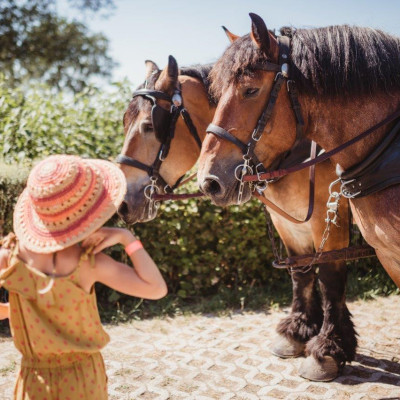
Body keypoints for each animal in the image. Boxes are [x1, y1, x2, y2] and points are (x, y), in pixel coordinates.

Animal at [119, 54, 356, 380]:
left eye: (147, 126)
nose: (122, 202)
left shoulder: (329, 216)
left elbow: (331, 279)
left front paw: (328, 349)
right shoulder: (288, 223)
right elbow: (301, 273)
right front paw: (299, 331)